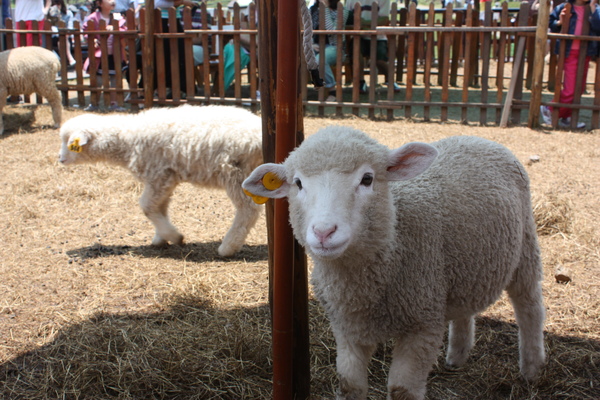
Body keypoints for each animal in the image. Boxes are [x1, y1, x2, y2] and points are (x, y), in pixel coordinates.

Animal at [59, 104, 264, 258]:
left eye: (69, 143)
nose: (59, 159)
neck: (126, 140)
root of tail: (259, 135)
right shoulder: (167, 178)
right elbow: (160, 208)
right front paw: (161, 237)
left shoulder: (158, 175)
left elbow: (146, 206)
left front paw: (174, 236)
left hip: (235, 173)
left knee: (248, 210)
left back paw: (228, 247)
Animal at [241, 127, 548, 400]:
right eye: (298, 183)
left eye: (367, 179)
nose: (324, 232)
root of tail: (477, 138)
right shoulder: (347, 328)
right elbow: (350, 386)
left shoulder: (422, 327)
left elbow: (402, 391)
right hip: (460, 268)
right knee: (465, 309)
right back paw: (457, 356)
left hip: (525, 247)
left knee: (529, 307)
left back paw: (532, 370)